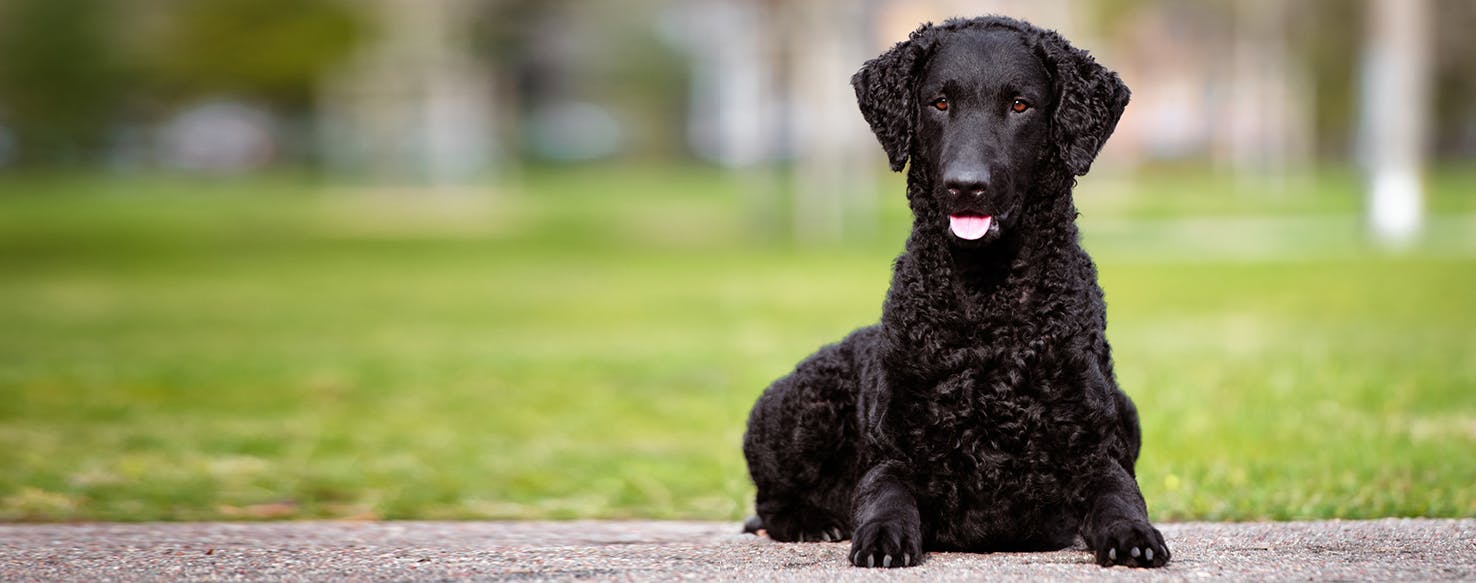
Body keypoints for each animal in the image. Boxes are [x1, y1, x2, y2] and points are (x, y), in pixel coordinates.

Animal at [743, 15, 1168, 569]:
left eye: (1020, 105)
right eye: (940, 102)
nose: (966, 185)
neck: (987, 307)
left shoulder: (1096, 451)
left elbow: (1120, 495)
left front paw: (1133, 533)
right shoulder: (892, 453)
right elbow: (884, 495)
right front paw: (881, 537)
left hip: (1128, 411)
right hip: (802, 407)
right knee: (769, 503)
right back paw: (814, 523)